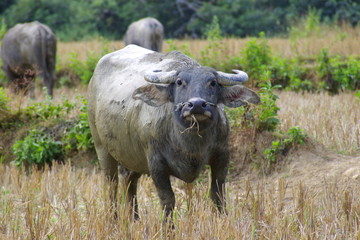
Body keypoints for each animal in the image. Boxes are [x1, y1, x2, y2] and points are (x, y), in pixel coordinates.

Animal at [88, 44, 260, 218]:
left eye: (212, 83)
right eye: (179, 82)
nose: (196, 104)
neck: (190, 143)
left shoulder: (222, 155)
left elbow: (217, 195)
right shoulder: (156, 163)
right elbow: (167, 200)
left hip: (131, 157)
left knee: (129, 181)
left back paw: (134, 218)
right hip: (101, 148)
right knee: (111, 185)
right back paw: (113, 218)